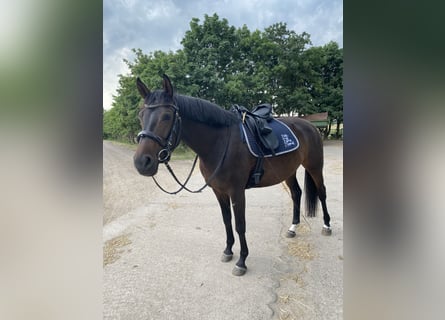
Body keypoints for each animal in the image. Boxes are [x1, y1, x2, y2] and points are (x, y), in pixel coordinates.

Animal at [132, 74, 330, 276]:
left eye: (166, 116)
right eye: (141, 116)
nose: (142, 162)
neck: (219, 143)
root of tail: (310, 125)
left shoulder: (237, 192)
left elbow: (240, 224)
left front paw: (242, 261)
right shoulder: (219, 191)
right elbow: (227, 221)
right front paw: (228, 251)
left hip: (315, 166)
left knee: (322, 192)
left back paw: (326, 226)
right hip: (288, 171)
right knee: (296, 193)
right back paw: (293, 228)